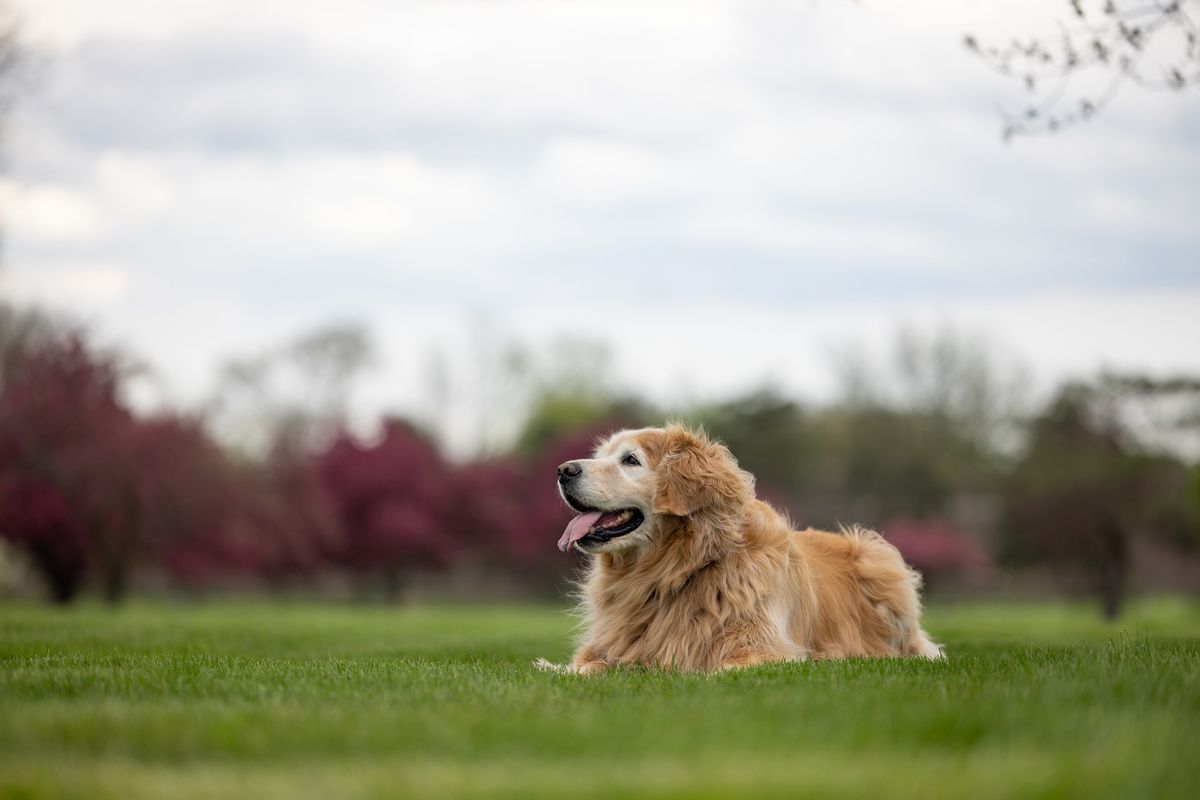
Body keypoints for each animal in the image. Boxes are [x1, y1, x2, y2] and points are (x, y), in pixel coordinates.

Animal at [540, 422, 940, 671]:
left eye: (630, 460)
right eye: (602, 455)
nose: (562, 470)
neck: (681, 570)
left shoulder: (764, 650)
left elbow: (717, 668)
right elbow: (586, 666)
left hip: (879, 558)